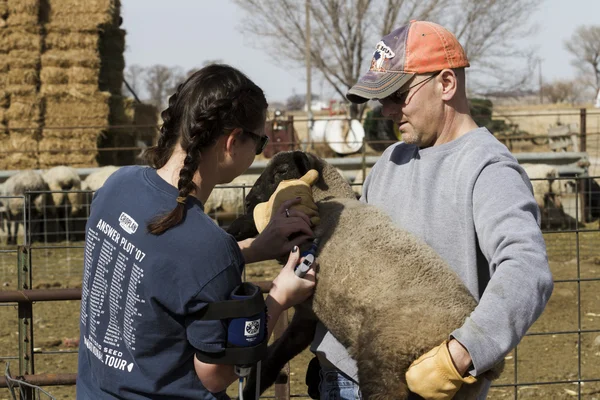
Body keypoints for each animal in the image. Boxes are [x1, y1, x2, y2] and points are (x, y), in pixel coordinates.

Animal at [229, 152, 502, 400]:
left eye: (282, 171)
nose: (248, 202)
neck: (328, 201)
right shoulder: (306, 316)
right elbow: (273, 359)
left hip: (386, 356)